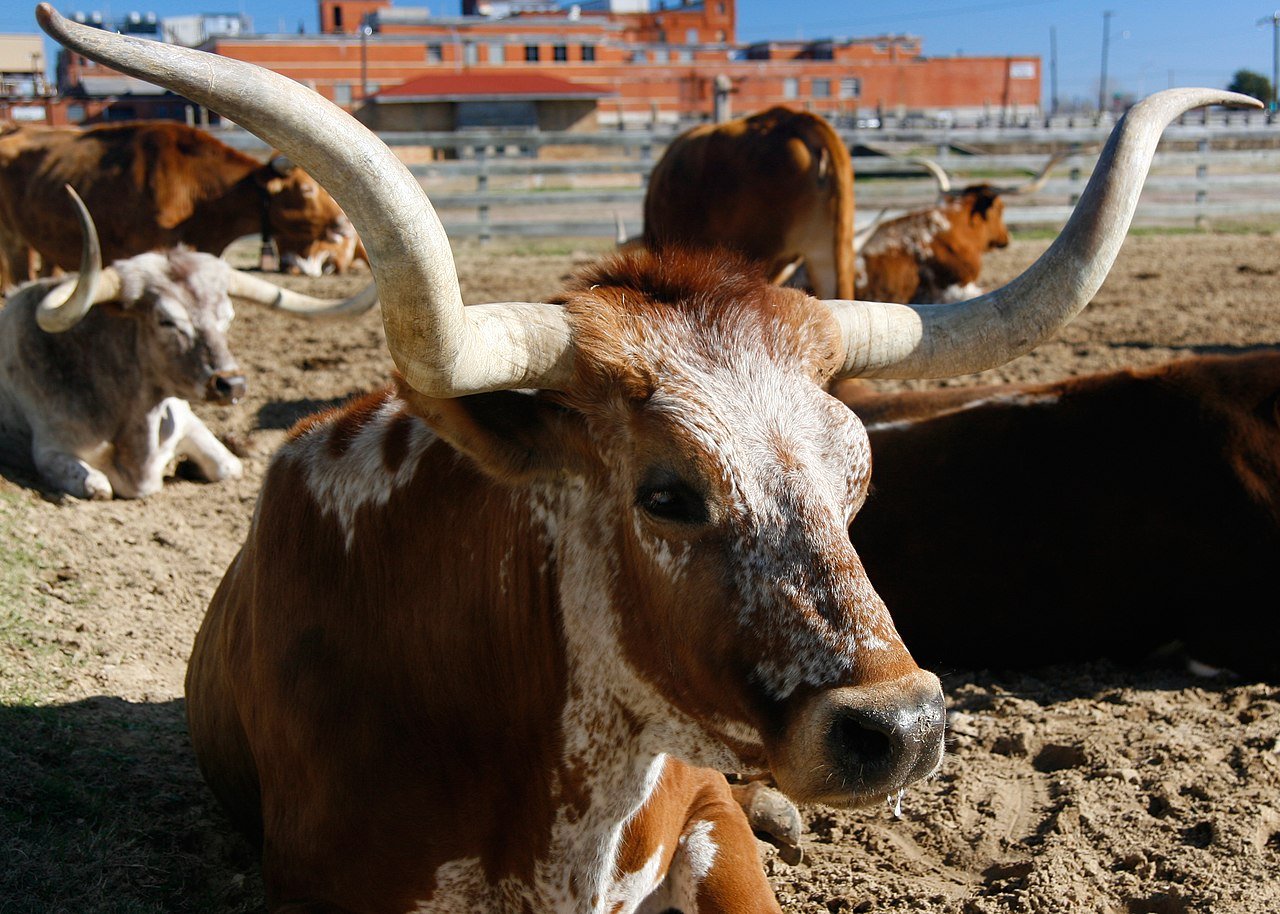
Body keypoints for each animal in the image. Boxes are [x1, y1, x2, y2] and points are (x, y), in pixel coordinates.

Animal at [0, 183, 377, 500]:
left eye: (227, 317)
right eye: (166, 321)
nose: (232, 385)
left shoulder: (188, 421)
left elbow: (229, 465)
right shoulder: (50, 450)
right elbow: (97, 485)